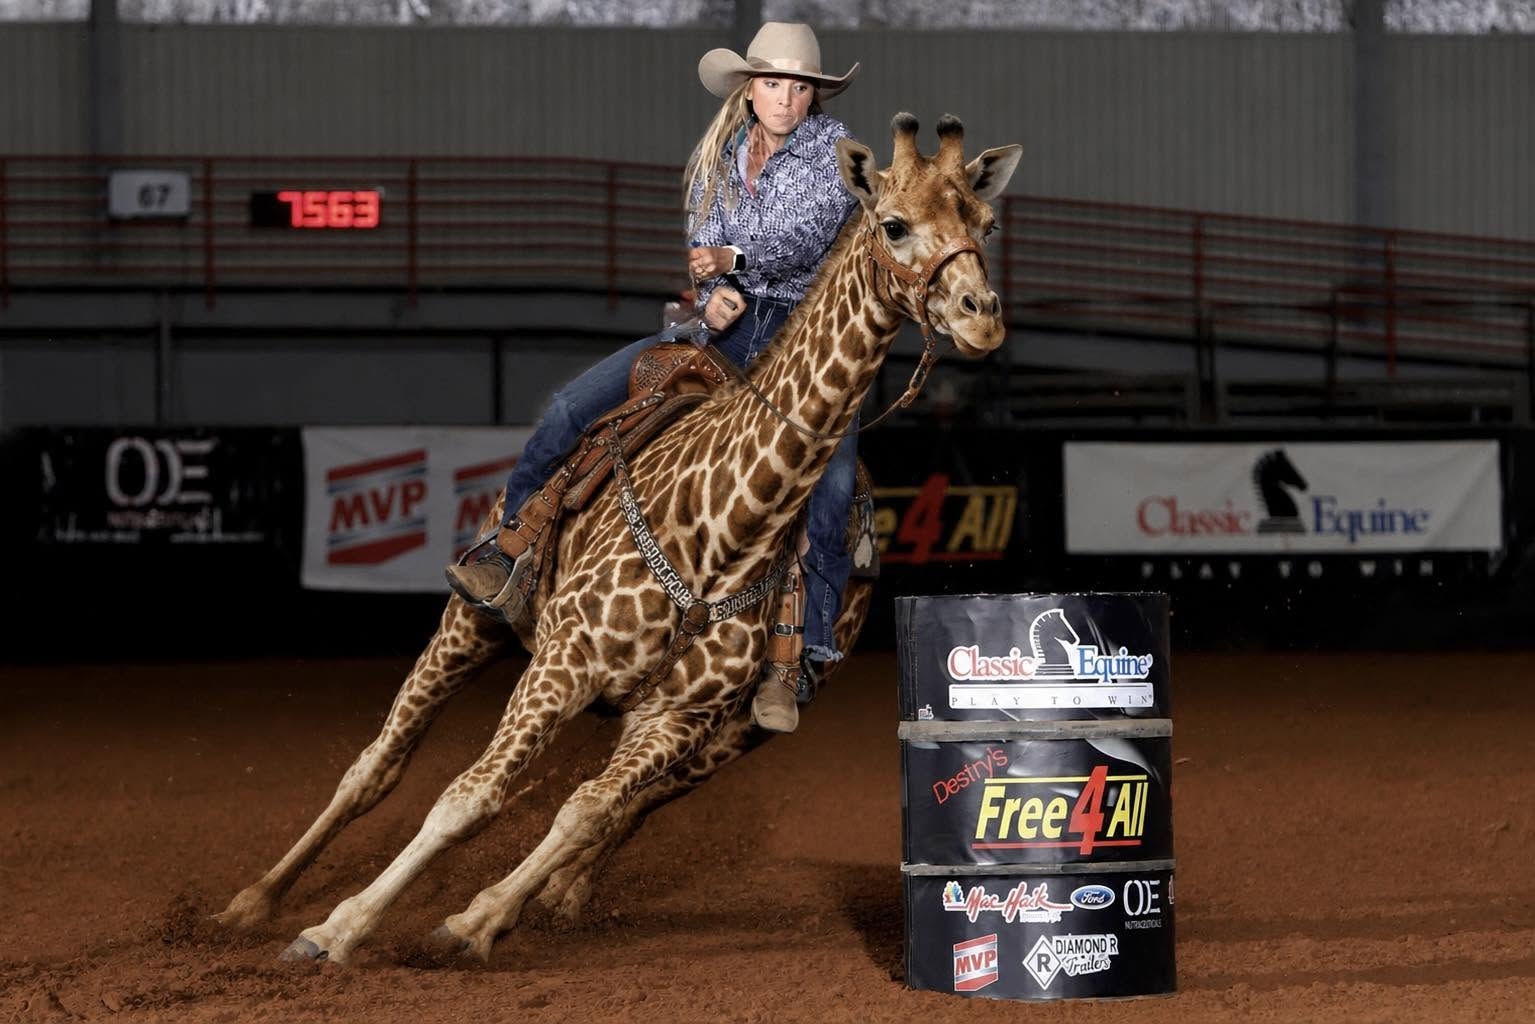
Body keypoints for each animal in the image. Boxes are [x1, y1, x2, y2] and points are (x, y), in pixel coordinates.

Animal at [215, 112, 1021, 965]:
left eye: (984, 224)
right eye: (894, 225)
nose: (981, 314)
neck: (724, 532)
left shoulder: (678, 718)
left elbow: (584, 809)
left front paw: (474, 919)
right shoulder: (563, 663)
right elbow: (468, 797)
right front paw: (336, 928)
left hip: (728, 737)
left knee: (622, 806)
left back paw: (545, 898)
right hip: (472, 622)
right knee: (376, 767)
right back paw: (255, 900)